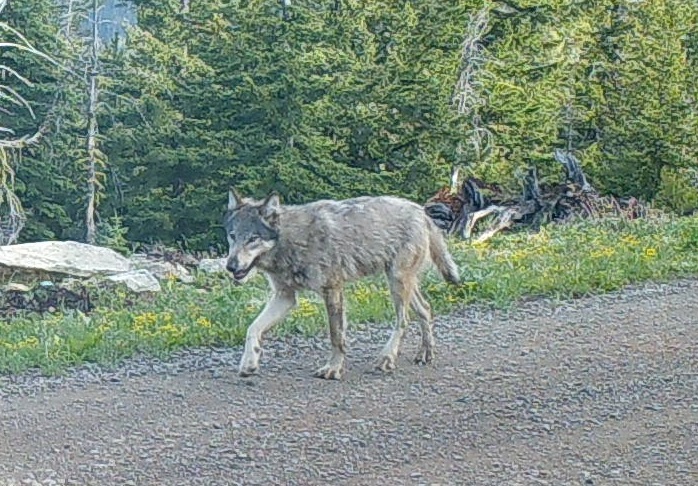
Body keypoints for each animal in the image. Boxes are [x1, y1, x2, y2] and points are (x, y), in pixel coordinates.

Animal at [223, 189, 460, 380]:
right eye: (232, 236)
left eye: (253, 238)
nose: (230, 266)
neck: (291, 240)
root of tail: (421, 211)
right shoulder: (285, 297)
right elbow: (253, 328)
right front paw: (249, 363)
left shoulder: (332, 290)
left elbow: (336, 336)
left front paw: (333, 369)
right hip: (402, 284)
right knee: (426, 309)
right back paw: (425, 354)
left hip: (397, 283)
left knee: (403, 320)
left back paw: (387, 358)